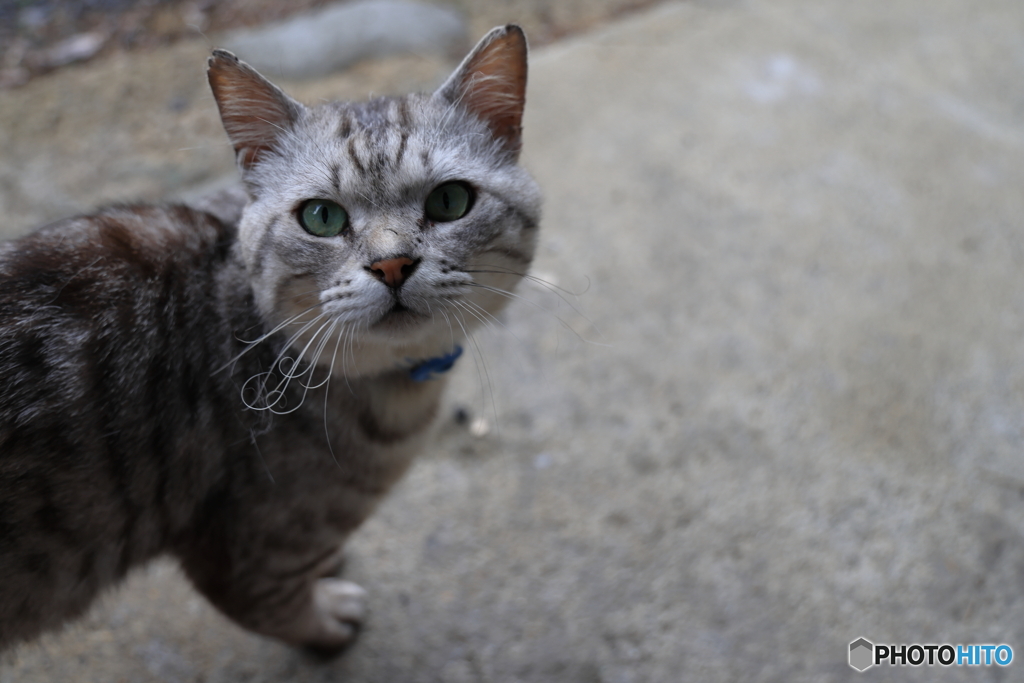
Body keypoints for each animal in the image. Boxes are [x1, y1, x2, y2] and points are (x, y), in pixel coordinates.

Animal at [0, 26, 544, 655]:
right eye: (322, 217)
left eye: (449, 201)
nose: (392, 265)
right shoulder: (241, 553)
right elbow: (273, 606)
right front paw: (326, 620)